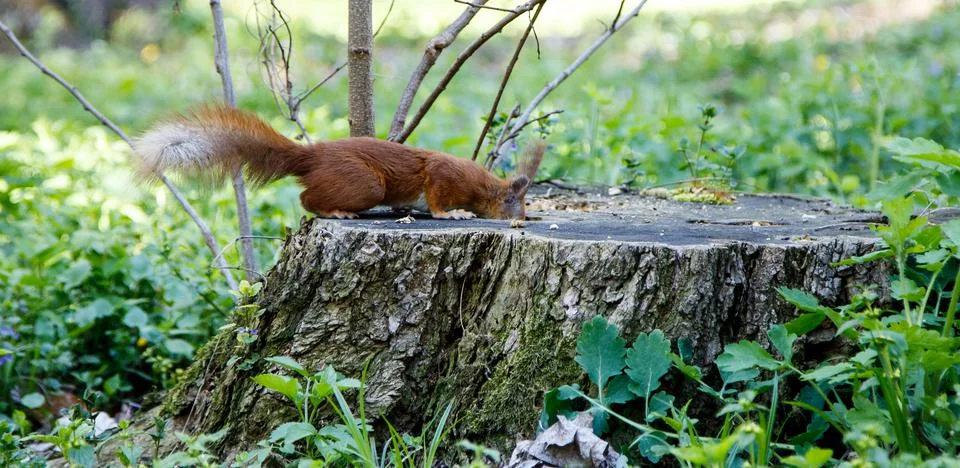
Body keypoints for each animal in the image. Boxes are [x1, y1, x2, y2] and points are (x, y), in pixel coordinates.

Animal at [132, 106, 544, 220]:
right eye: (513, 203)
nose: (523, 220)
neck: (483, 186)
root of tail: (313, 156)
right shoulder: (444, 176)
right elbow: (437, 196)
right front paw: (451, 214)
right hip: (364, 183)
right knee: (306, 200)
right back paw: (335, 212)